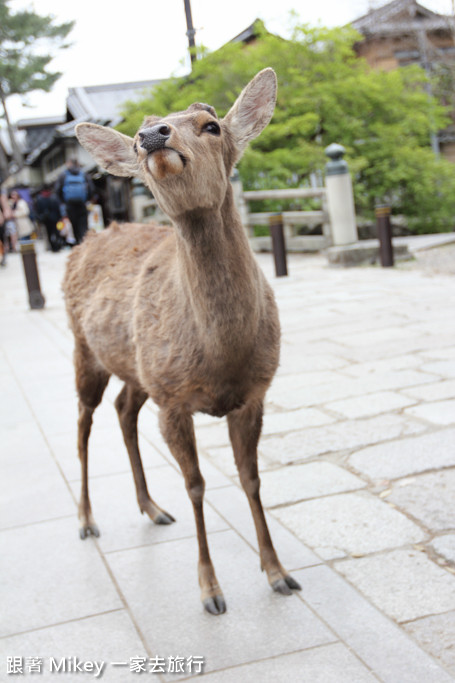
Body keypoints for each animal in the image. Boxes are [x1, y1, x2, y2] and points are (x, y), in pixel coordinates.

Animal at [63, 68, 300, 616]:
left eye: (211, 125)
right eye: (134, 138)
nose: (152, 136)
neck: (222, 357)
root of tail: (85, 240)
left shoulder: (254, 393)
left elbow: (252, 478)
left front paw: (278, 573)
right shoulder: (173, 401)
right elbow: (195, 485)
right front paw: (210, 591)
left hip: (138, 368)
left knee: (123, 410)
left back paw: (151, 508)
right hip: (85, 350)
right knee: (83, 421)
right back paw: (87, 520)